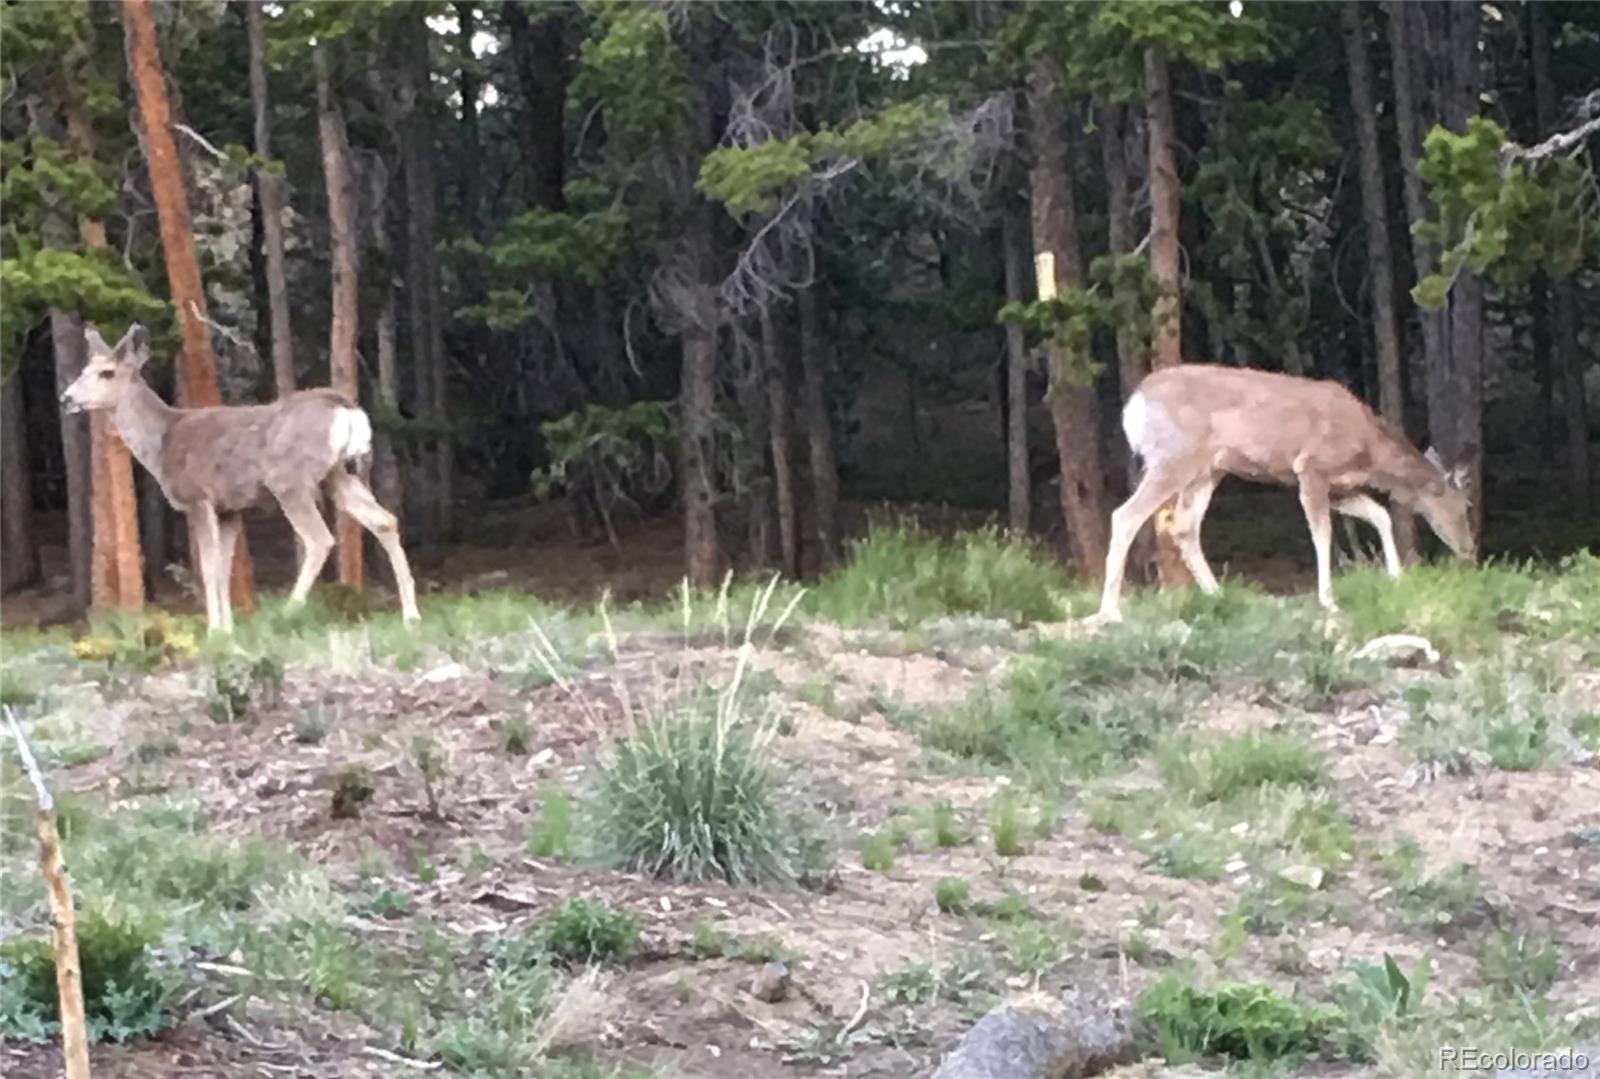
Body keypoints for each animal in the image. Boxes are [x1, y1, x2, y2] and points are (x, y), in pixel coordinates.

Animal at [60, 323, 420, 633]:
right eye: (83, 370)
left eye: (106, 373)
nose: (66, 398)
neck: (162, 443)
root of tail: (345, 406)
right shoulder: (230, 509)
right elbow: (224, 570)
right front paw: (229, 631)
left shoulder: (198, 497)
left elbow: (208, 569)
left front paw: (214, 632)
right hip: (336, 475)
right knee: (385, 520)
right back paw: (410, 615)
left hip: (289, 479)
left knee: (320, 538)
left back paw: (287, 612)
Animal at [1090, 364, 1477, 625]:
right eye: (1464, 506)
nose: (1469, 549)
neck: (1369, 450)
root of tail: (1133, 405)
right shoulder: (1311, 468)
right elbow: (1322, 533)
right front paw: (1327, 598)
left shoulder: (1340, 487)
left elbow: (1379, 514)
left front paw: (1395, 576)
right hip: (1174, 457)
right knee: (1126, 514)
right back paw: (1110, 611)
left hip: (1208, 469)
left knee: (1184, 525)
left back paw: (1218, 594)